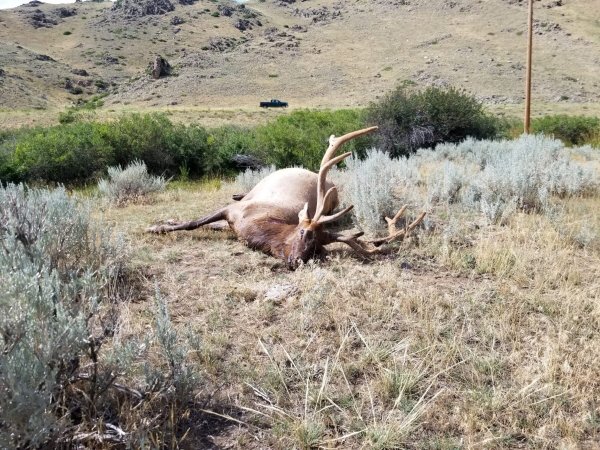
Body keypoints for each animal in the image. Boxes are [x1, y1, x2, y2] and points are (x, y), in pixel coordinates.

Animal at [146, 126, 426, 268]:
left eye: (318, 249)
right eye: (304, 233)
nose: (297, 261)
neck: (253, 227)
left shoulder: (234, 221)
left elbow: (208, 225)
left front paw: (164, 223)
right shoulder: (232, 211)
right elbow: (192, 222)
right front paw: (156, 226)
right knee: (239, 195)